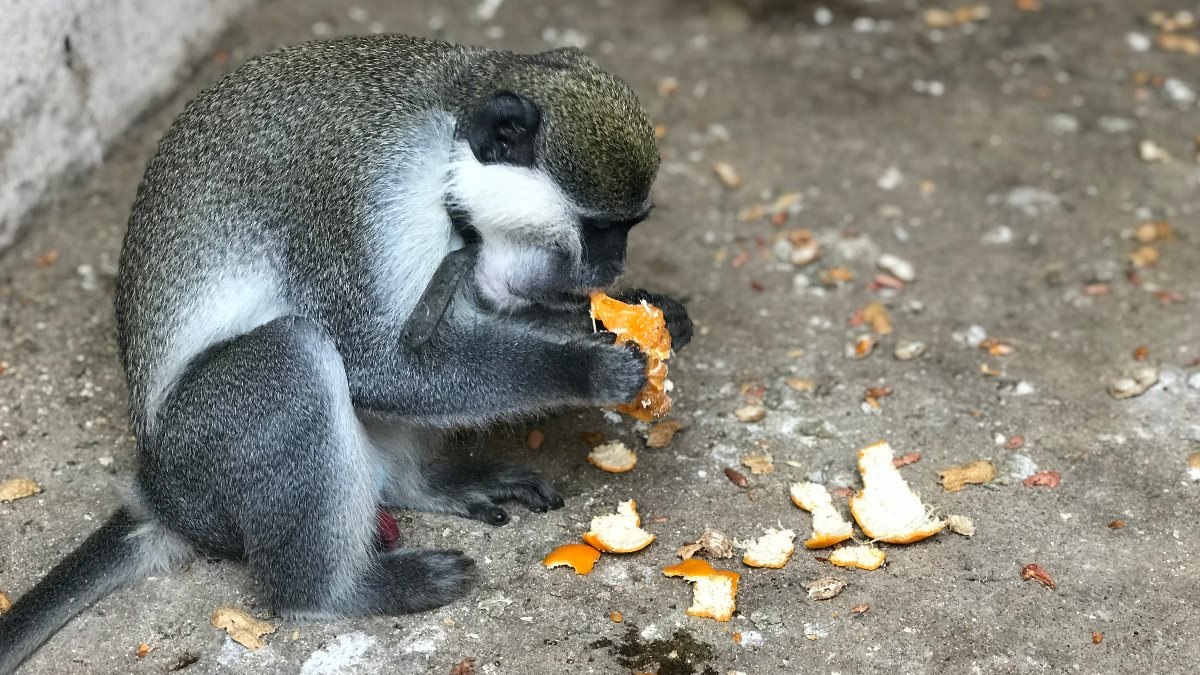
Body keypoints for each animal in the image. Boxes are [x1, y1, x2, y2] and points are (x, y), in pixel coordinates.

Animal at [0, 32, 696, 667]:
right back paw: (328, 594)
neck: (443, 138)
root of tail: (156, 493)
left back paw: (422, 484)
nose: (612, 266)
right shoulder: (358, 194)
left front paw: (648, 314)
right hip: (201, 468)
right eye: (600, 228)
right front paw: (587, 368)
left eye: (629, 228)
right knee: (293, 356)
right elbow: (374, 361)